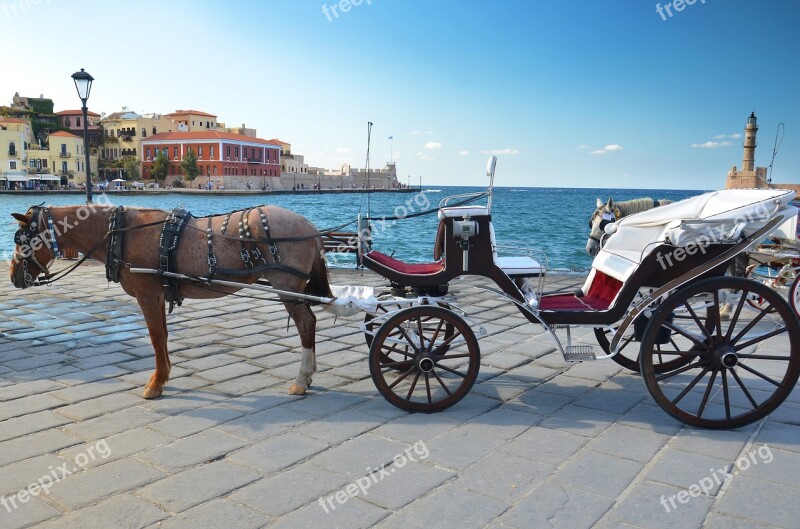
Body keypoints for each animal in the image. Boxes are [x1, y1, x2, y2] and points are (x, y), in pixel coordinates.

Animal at [10, 204, 328, 398]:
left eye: (20, 239)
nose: (13, 275)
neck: (120, 233)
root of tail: (310, 225)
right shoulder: (160, 295)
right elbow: (162, 335)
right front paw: (163, 376)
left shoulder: (148, 295)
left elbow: (154, 336)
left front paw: (156, 383)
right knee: (309, 323)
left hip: (287, 287)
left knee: (306, 324)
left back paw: (302, 379)